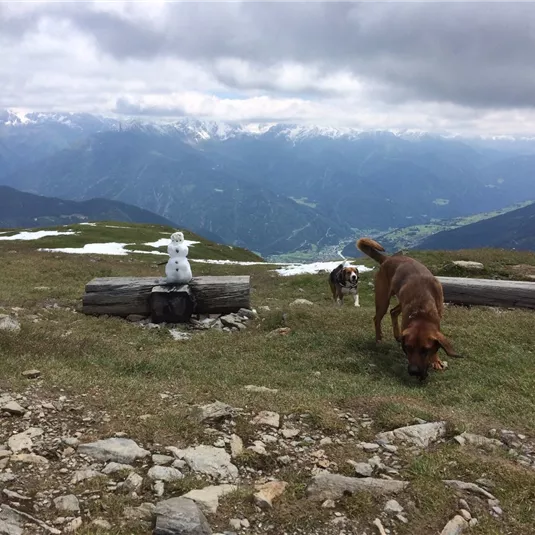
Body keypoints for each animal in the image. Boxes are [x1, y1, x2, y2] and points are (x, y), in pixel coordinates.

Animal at [356, 239, 460, 382]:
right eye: (408, 348)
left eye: (425, 350)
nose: (414, 371)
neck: (422, 310)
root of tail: (388, 259)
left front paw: (435, 360)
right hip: (383, 300)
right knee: (377, 318)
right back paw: (379, 339)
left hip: (399, 302)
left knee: (393, 312)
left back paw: (396, 335)